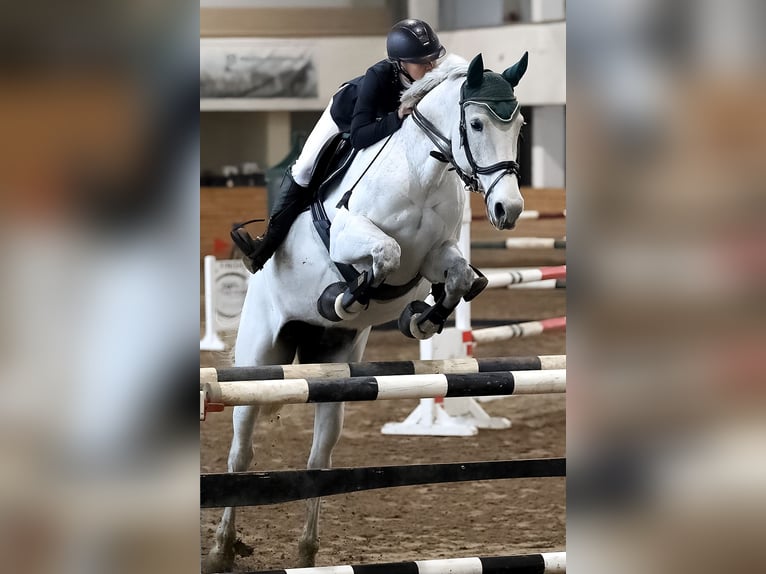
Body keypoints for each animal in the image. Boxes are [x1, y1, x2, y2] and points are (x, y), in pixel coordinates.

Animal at [203, 51, 530, 572]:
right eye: (476, 123)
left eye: (518, 125)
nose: (508, 208)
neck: (423, 172)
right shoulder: (348, 234)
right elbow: (385, 253)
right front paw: (344, 296)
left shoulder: (436, 254)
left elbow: (457, 278)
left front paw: (422, 317)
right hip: (257, 360)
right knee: (240, 454)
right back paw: (220, 549)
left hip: (334, 370)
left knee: (319, 460)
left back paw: (307, 552)